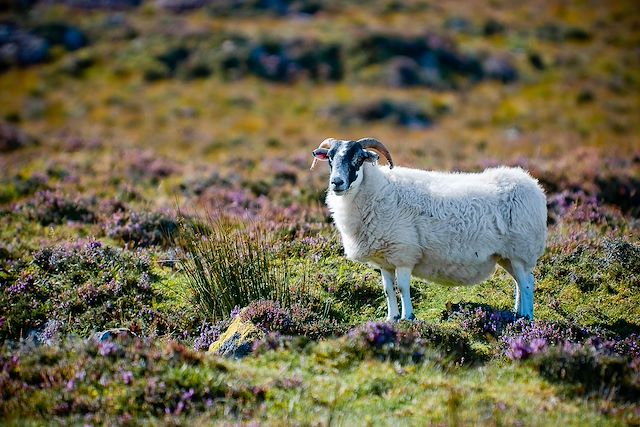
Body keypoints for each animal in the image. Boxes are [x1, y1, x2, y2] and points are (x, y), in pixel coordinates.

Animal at [310, 137, 544, 320]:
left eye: (358, 160)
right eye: (330, 159)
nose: (336, 183)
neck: (377, 191)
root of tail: (532, 184)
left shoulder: (404, 253)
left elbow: (403, 288)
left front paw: (408, 317)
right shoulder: (385, 260)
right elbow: (388, 290)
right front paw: (391, 318)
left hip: (521, 250)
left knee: (527, 284)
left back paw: (527, 318)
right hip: (507, 255)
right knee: (519, 282)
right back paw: (517, 315)